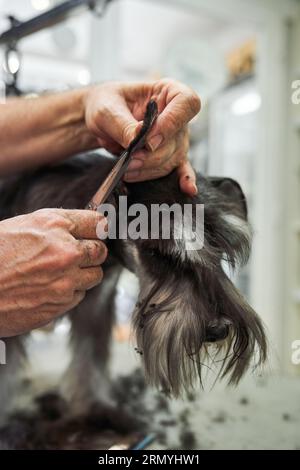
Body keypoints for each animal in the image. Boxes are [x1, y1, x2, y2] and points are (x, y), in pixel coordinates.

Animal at [0, 151, 268, 418]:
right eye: (156, 252)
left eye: (218, 246)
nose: (218, 330)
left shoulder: (97, 303)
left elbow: (91, 358)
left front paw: (92, 407)